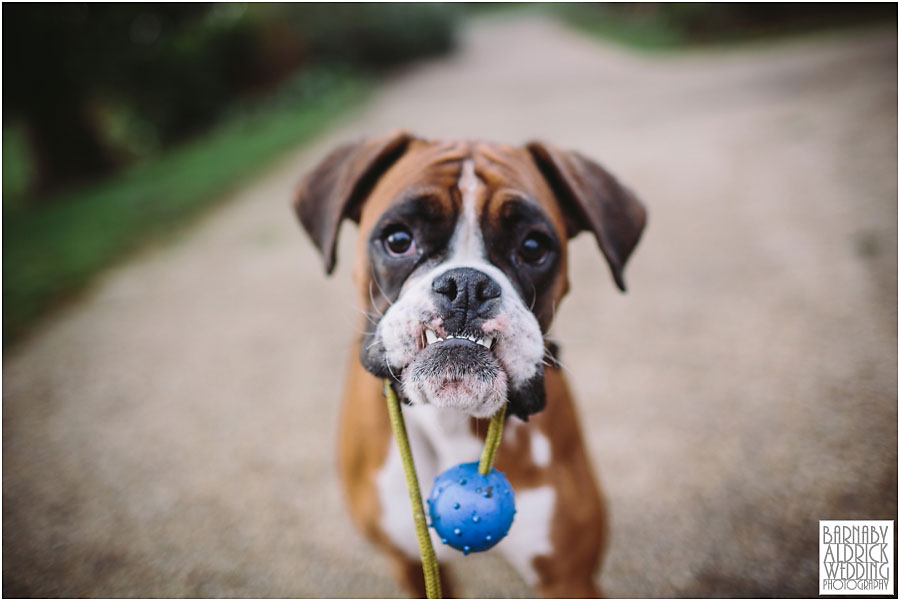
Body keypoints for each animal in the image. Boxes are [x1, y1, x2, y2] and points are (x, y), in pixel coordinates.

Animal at [296, 131, 648, 596]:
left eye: (533, 247)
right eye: (398, 240)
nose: (466, 284)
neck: (453, 419)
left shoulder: (568, 577)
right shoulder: (408, 562)